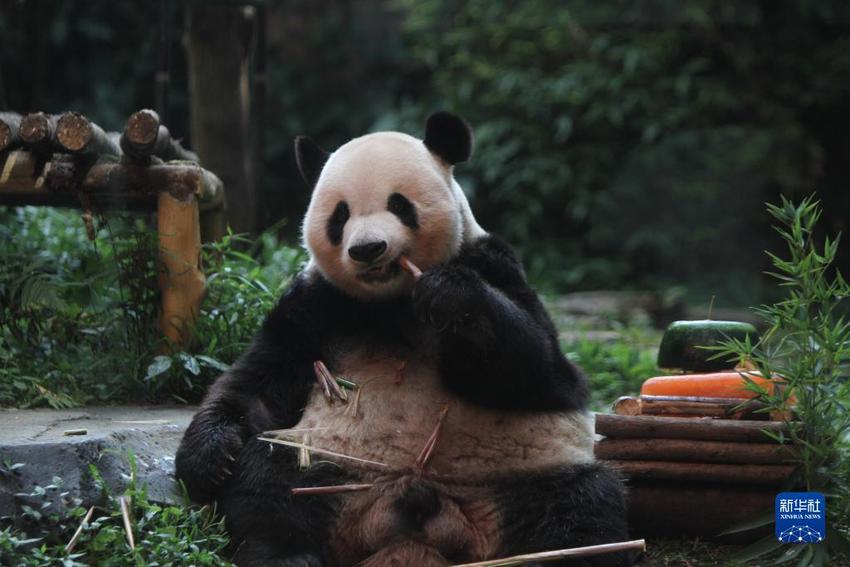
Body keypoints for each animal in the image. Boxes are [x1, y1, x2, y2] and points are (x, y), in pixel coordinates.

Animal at [176, 112, 628, 567]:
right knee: (270, 482)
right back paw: (288, 554)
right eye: (340, 215)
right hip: (330, 464)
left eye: (399, 204)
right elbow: (261, 380)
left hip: (518, 477)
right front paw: (209, 459)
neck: (392, 301)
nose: (368, 249)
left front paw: (450, 294)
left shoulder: (493, 263)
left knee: (581, 504)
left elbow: (542, 373)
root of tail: (412, 525)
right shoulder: (316, 304)